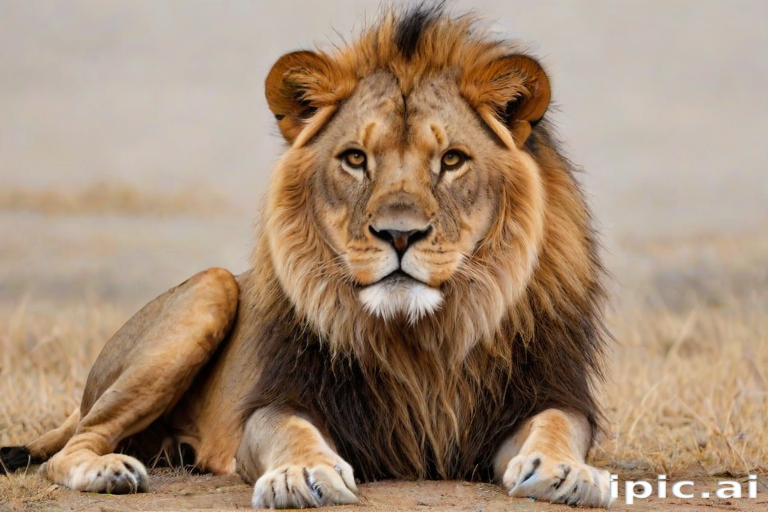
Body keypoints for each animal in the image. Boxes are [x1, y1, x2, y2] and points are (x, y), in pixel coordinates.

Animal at [1, 5, 613, 509]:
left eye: (453, 160)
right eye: (355, 158)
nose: (399, 235)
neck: (419, 339)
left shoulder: (544, 394)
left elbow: (558, 425)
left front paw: (566, 471)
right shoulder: (280, 398)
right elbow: (288, 431)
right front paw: (301, 475)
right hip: (212, 289)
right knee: (70, 446)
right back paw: (108, 470)